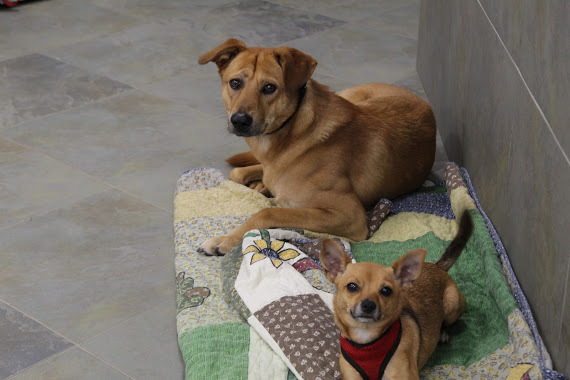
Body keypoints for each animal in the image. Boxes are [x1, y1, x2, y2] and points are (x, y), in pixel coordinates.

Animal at [197, 38, 432, 254]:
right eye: (235, 83)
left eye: (269, 87)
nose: (239, 121)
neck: (293, 134)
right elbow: (239, 175)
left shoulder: (350, 216)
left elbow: (269, 212)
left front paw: (224, 240)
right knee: (240, 172)